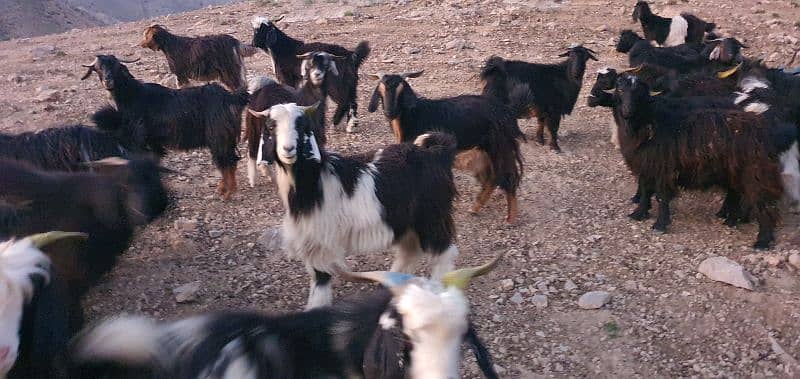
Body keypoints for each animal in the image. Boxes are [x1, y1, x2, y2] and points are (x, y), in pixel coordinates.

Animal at [82, 55, 247, 202]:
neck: (134, 95)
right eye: (98, 68)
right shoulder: (153, 142)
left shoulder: (139, 139)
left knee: (227, 161)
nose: (108, 81)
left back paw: (227, 193)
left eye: (116, 66)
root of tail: (230, 97)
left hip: (219, 137)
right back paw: (222, 189)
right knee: (229, 161)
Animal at [247, 103, 460, 308]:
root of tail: (436, 152)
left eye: (301, 125)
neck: (315, 181)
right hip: (407, 221)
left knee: (443, 253)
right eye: (271, 126)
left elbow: (321, 278)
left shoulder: (322, 238)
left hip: (432, 216)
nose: (288, 149)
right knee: (410, 252)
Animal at [368, 71, 528, 223]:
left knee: (507, 176)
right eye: (380, 90)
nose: (390, 112)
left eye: (401, 90)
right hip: (486, 150)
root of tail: (507, 111)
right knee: (493, 177)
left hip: (500, 146)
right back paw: (475, 208)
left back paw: (510, 219)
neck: (415, 115)